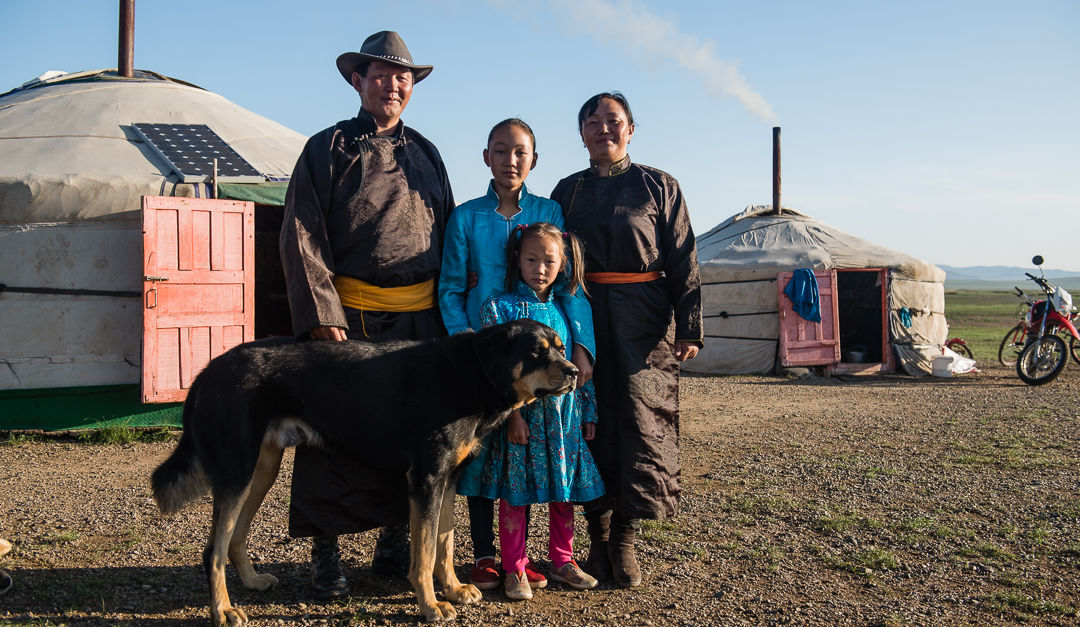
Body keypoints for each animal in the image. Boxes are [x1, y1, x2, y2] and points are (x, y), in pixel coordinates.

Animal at [147, 319, 578, 621]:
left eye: (560, 348)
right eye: (537, 351)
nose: (574, 371)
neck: (469, 372)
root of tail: (207, 372)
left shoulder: (448, 479)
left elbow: (444, 542)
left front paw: (454, 589)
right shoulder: (426, 479)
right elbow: (424, 554)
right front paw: (431, 605)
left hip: (260, 470)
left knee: (234, 537)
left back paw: (251, 582)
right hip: (236, 470)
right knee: (212, 551)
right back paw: (222, 610)